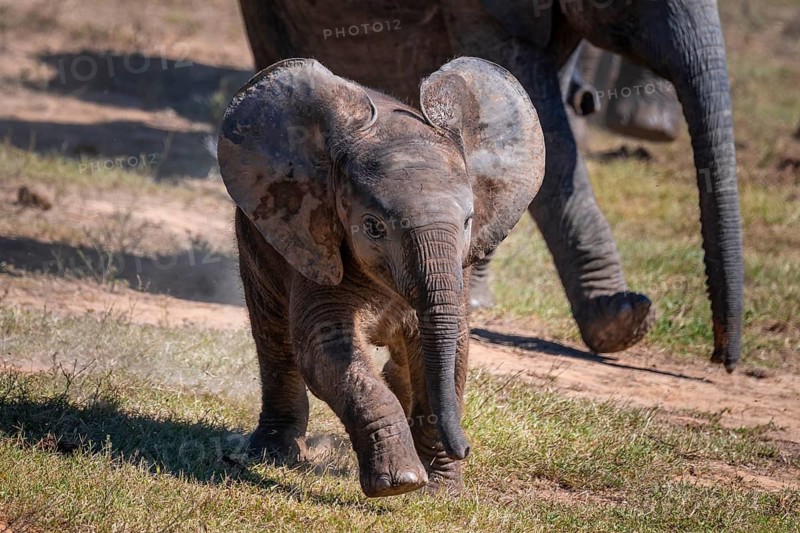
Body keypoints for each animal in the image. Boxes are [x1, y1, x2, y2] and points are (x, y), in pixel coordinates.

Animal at [217, 57, 545, 496]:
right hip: (261, 233)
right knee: (274, 336)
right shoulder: (316, 239)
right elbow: (326, 346)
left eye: (468, 222)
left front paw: (440, 492)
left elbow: (451, 347)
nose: (466, 448)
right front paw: (401, 484)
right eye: (373, 227)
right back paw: (274, 455)